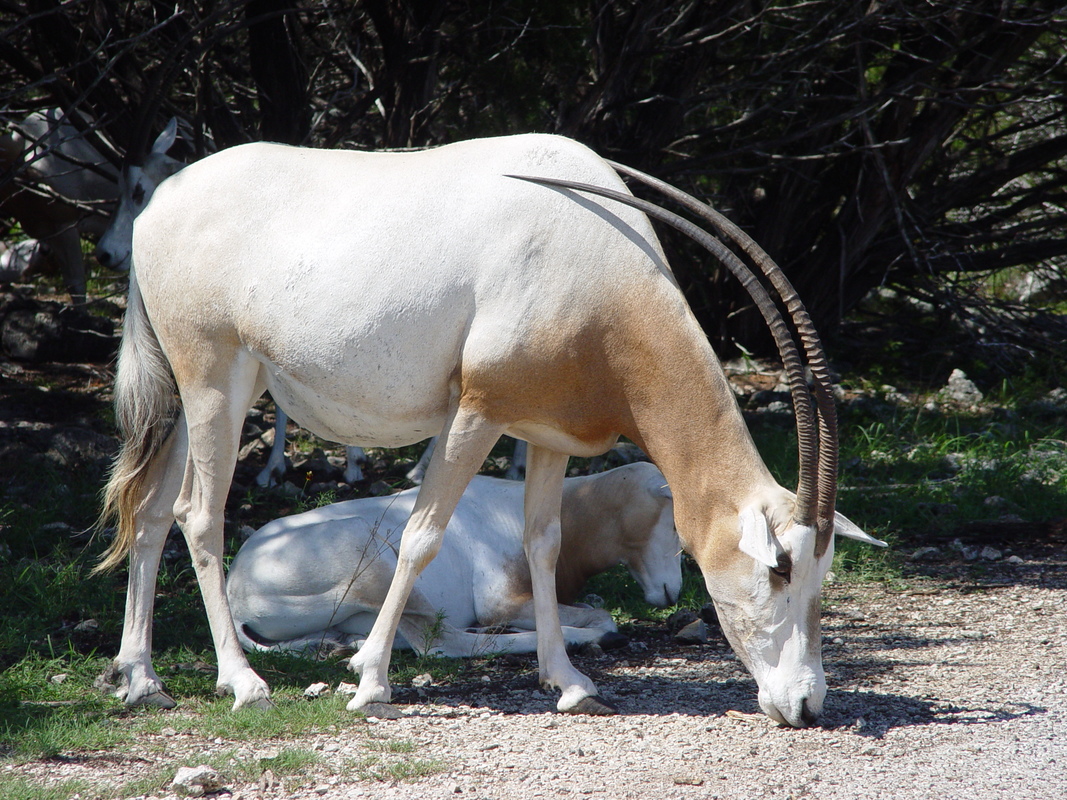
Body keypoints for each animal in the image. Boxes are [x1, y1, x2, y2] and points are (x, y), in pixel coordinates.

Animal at [228, 462, 678, 657]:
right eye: (675, 522)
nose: (673, 592)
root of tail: (236, 594)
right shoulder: (502, 600)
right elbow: (603, 617)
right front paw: (598, 632)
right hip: (372, 558)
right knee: (441, 643)